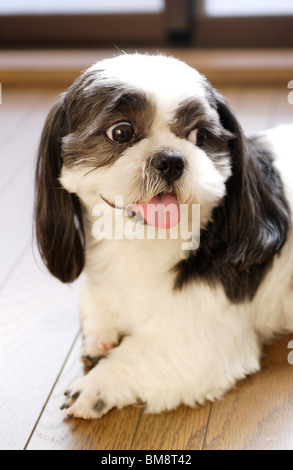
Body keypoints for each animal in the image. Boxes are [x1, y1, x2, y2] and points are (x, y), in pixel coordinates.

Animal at [34, 52, 292, 418]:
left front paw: (96, 385)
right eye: (121, 132)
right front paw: (100, 333)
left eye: (200, 136)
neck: (137, 245)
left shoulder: (205, 339)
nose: (171, 159)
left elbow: (140, 354)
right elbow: (96, 303)